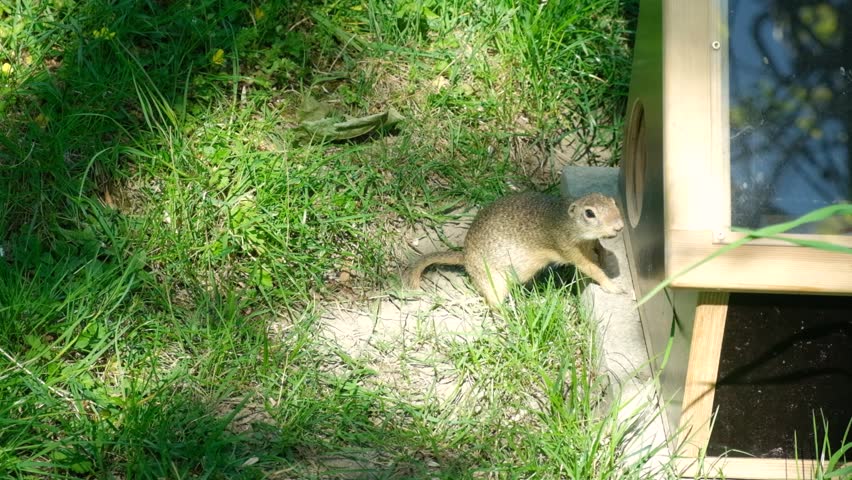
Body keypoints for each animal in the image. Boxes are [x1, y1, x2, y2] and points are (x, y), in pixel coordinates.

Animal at [404, 191, 625, 307]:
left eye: (614, 201)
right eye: (589, 213)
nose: (619, 226)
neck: (564, 220)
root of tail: (464, 256)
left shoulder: (588, 243)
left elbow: (598, 247)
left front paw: (606, 256)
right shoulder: (567, 248)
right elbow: (591, 269)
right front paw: (614, 286)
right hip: (492, 281)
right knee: (493, 303)